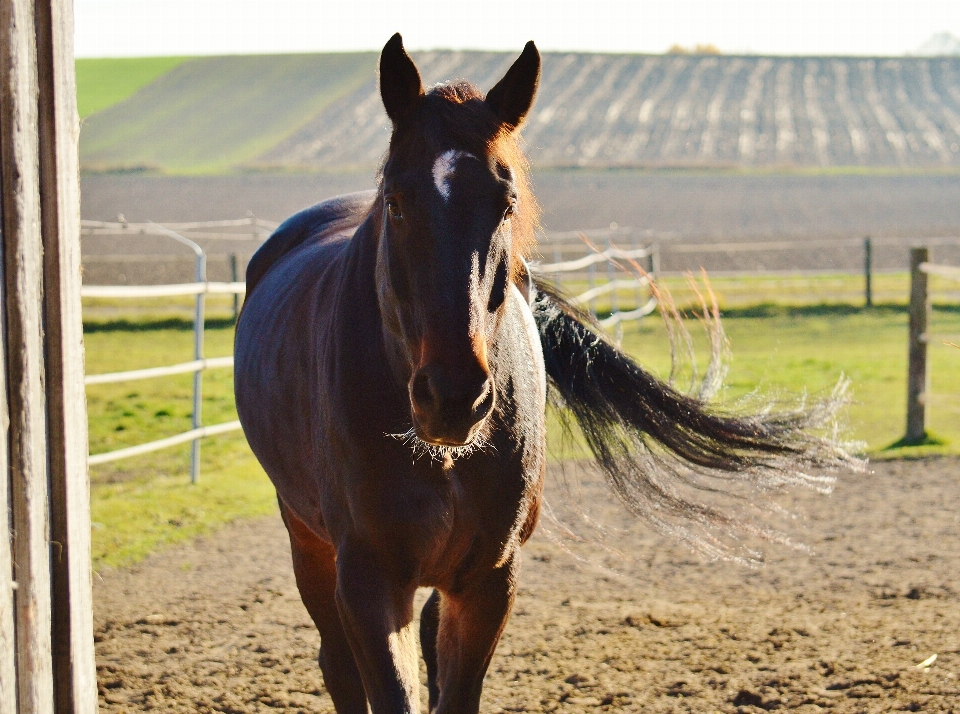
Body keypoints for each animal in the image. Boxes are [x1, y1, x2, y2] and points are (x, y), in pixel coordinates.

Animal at [234, 34, 864, 712]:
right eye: (397, 202)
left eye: (506, 201)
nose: (453, 396)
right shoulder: (369, 580)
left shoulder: (487, 580)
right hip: (307, 538)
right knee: (337, 663)